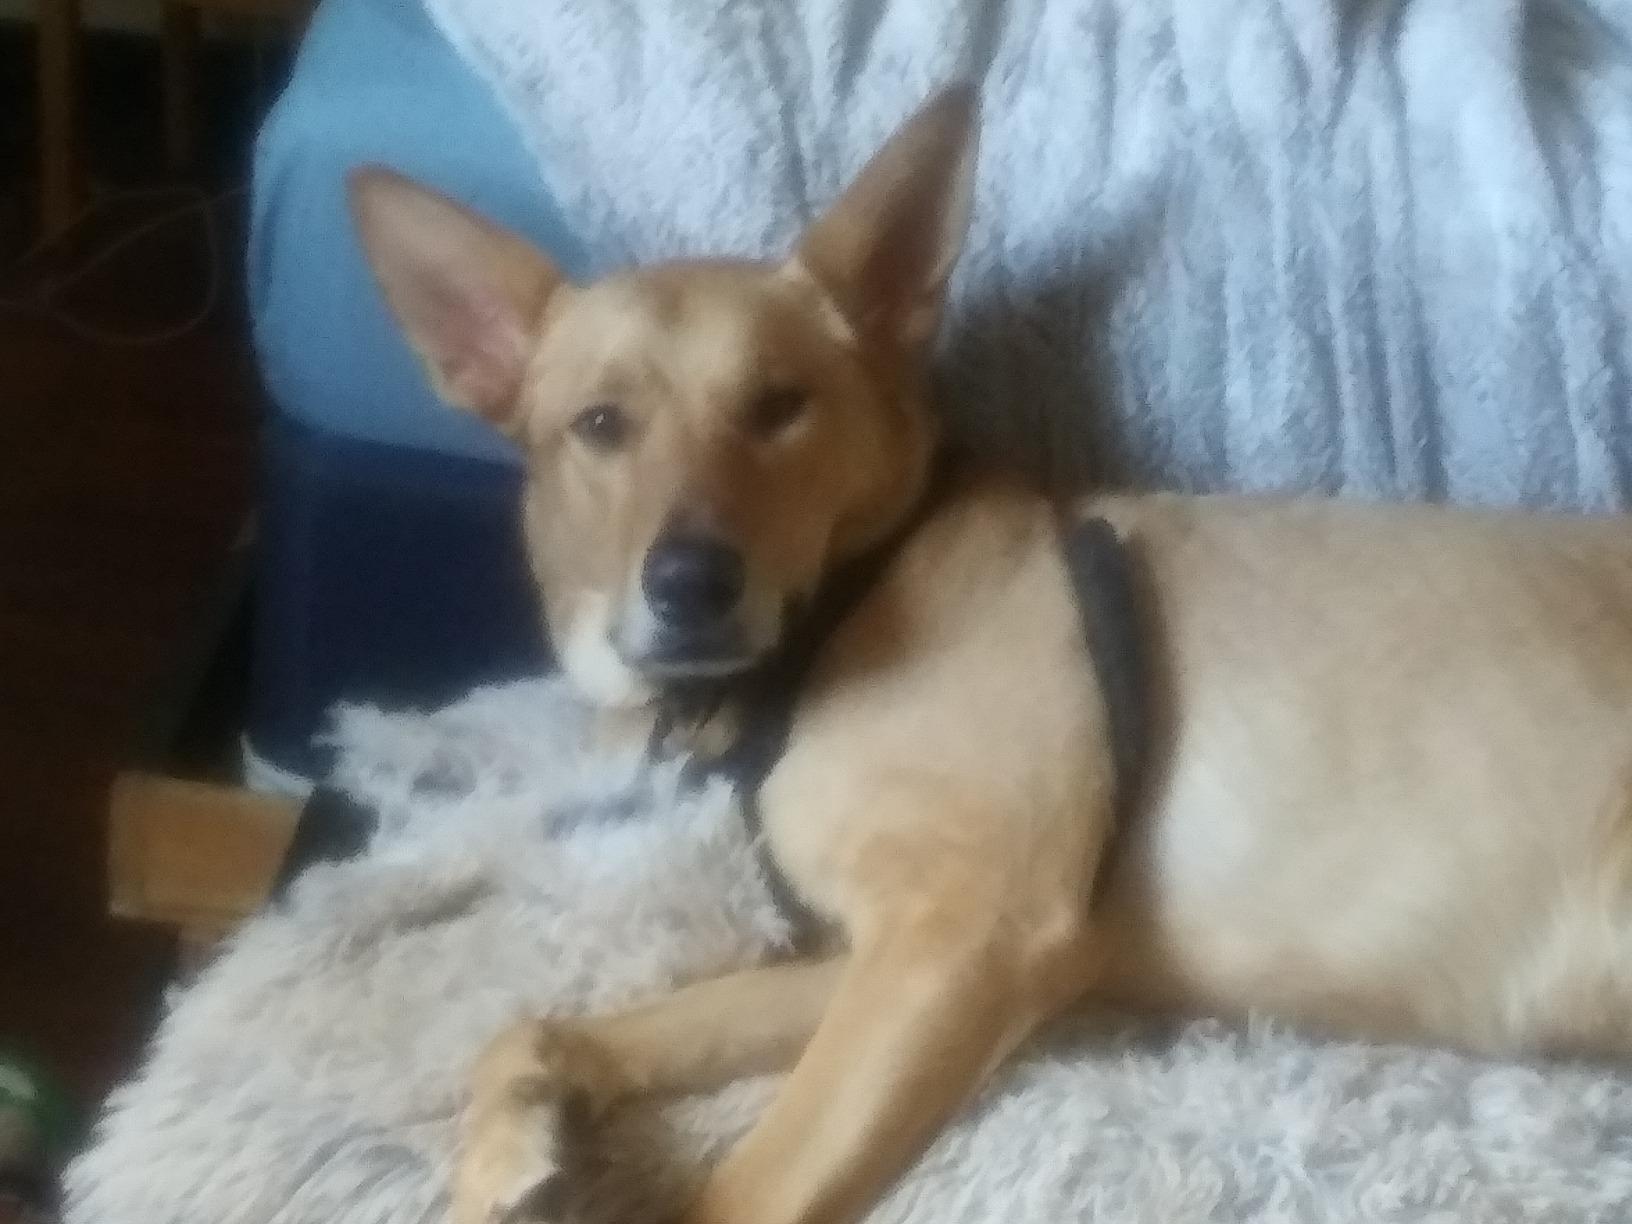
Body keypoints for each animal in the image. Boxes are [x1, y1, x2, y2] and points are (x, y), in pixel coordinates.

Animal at [349, 85, 1632, 1224]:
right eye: (601, 426)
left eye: (780, 406)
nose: (691, 585)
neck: (846, 607)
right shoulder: (895, 958)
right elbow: (550, 1027)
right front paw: (517, 1142)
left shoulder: (967, 936)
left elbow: (744, 1195)